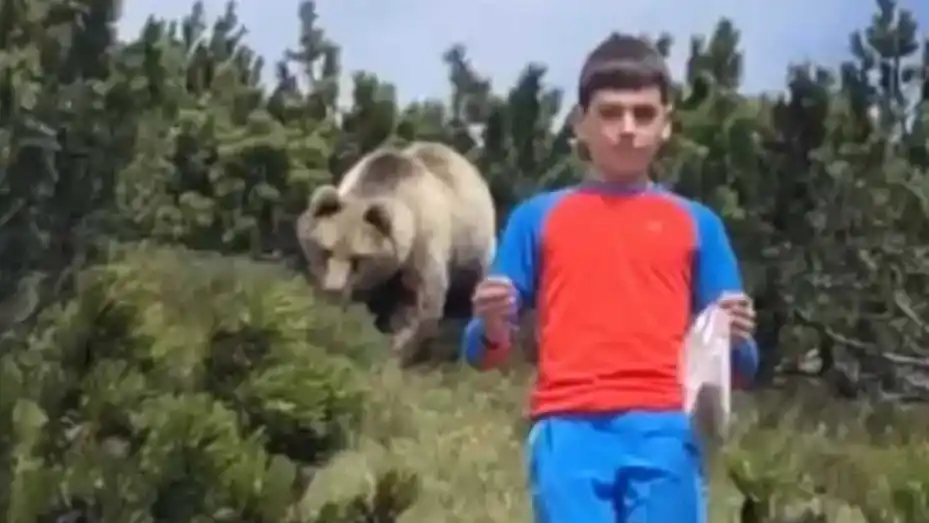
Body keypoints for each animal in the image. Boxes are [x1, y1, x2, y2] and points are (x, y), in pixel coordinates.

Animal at [295, 141, 497, 364]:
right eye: (326, 251)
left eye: (358, 259)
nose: (334, 290)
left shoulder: (423, 245)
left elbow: (423, 302)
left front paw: (399, 348)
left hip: (472, 248)